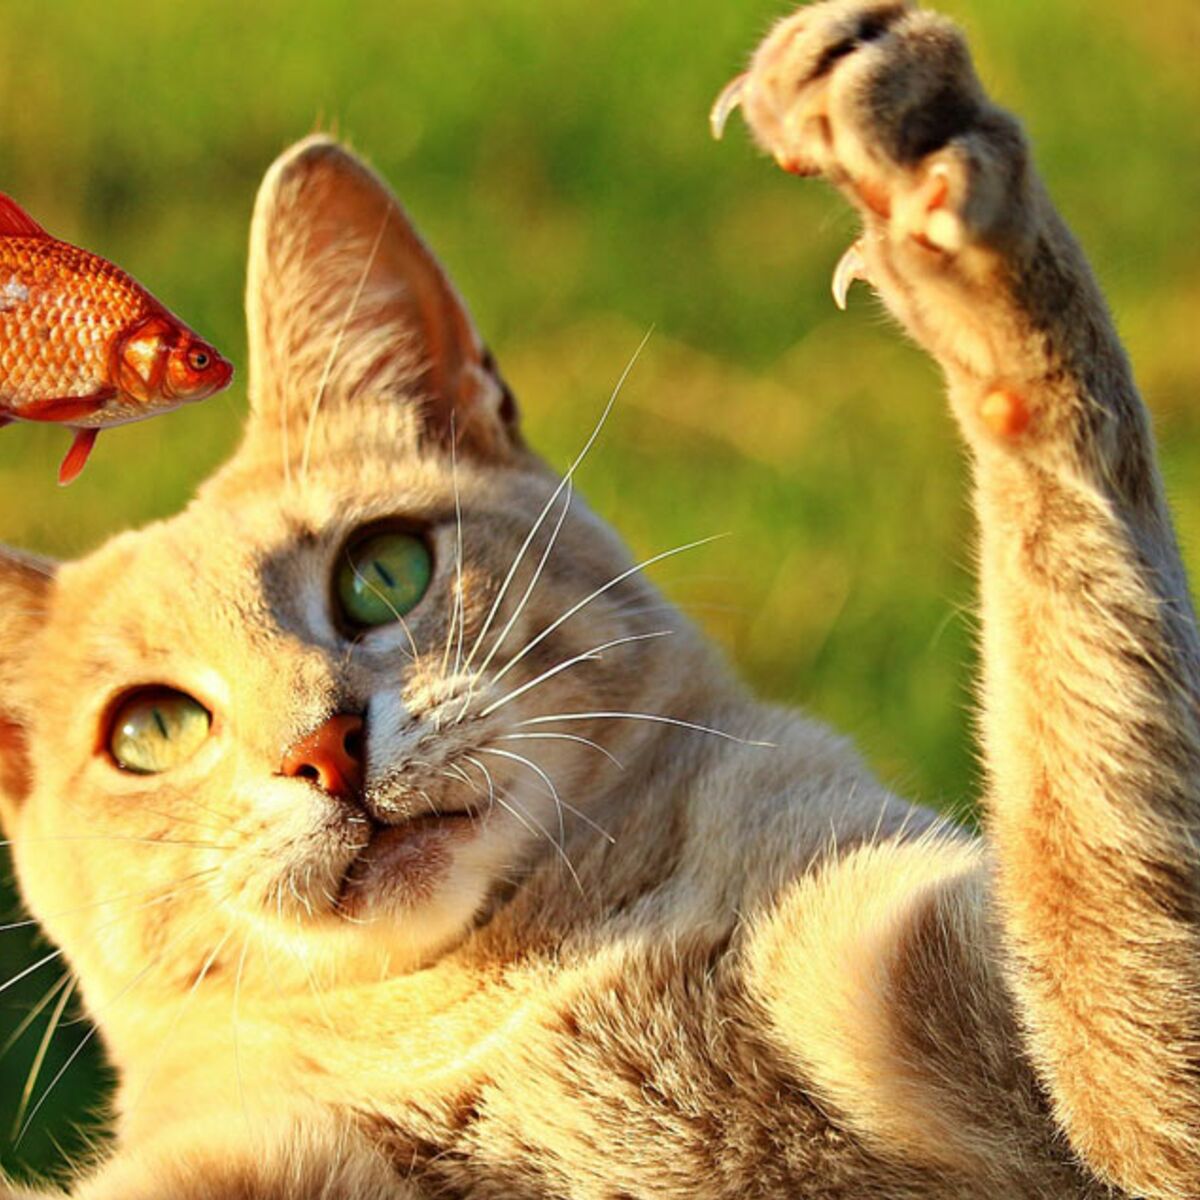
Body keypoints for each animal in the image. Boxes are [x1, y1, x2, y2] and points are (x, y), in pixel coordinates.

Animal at [2, 0, 1200, 1195]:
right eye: (151, 729)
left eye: (382, 572)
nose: (325, 748)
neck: (532, 987)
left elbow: (1082, 802)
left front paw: (928, 183)